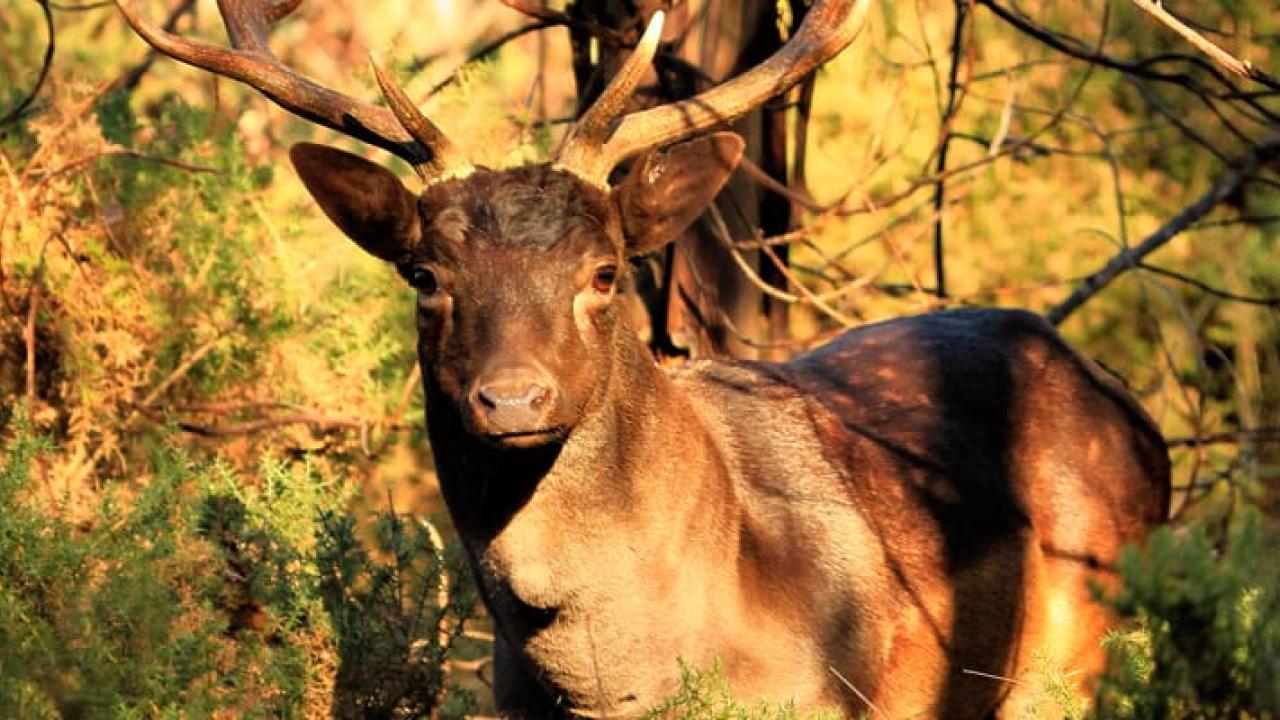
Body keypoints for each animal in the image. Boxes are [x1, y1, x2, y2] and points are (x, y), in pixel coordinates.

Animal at [116, 0, 1171, 716]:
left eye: (605, 270)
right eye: (424, 275)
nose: (511, 398)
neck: (619, 684)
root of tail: (1135, 417)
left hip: (1074, 643)